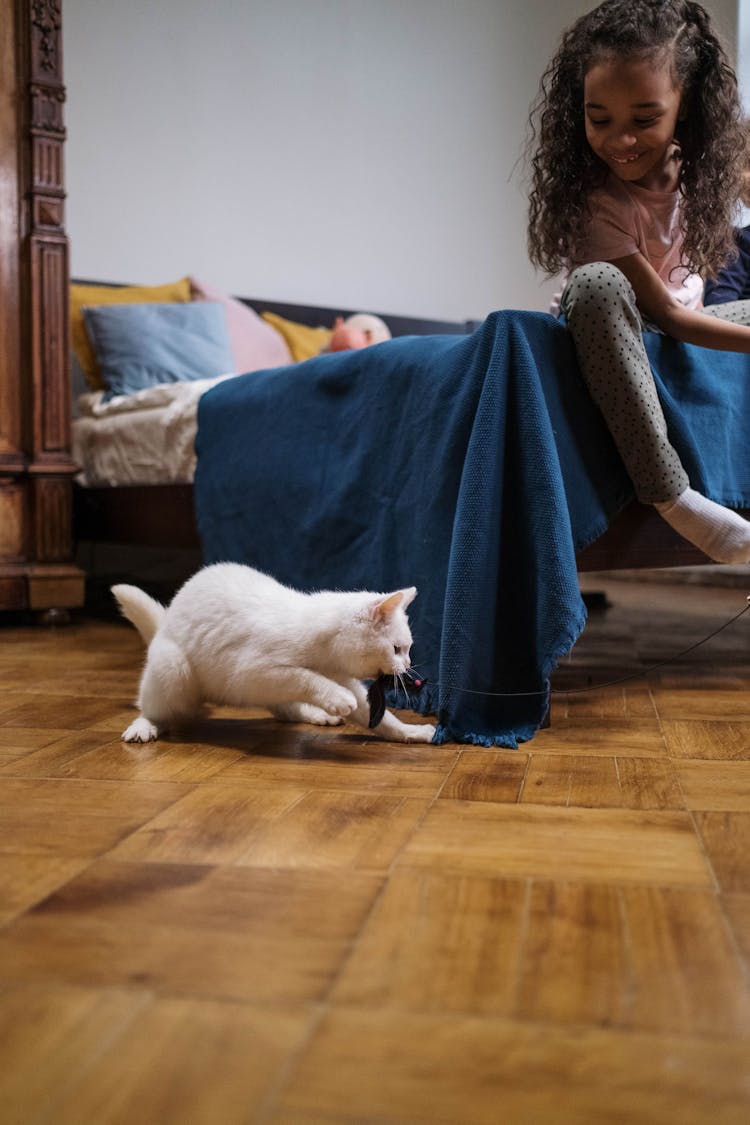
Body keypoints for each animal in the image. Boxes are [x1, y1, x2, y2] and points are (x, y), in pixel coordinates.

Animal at [113, 562, 436, 747]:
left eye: (407, 649)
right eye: (397, 649)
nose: (408, 664)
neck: (326, 656)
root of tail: (165, 623)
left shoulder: (340, 678)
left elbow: (382, 718)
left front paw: (412, 733)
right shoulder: (253, 673)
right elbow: (305, 677)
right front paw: (337, 699)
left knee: (284, 709)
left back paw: (318, 715)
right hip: (173, 667)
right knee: (153, 708)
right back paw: (145, 727)